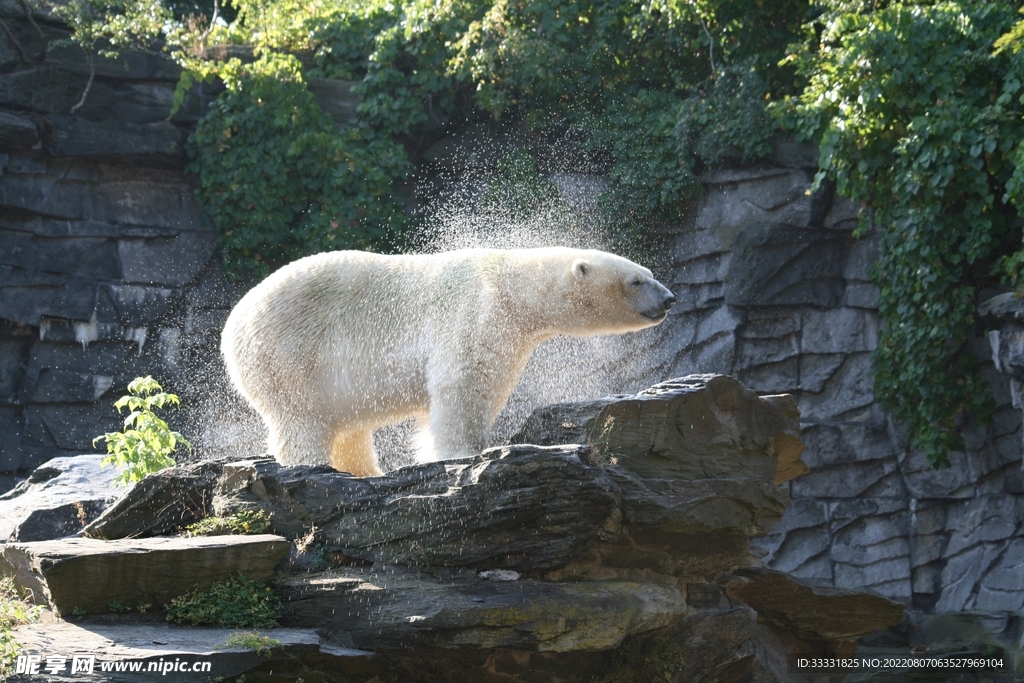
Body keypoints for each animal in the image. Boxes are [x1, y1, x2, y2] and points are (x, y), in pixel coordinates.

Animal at [220, 248, 675, 479]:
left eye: (647, 271)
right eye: (637, 280)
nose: (669, 299)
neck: (511, 285)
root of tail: (233, 325)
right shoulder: (475, 314)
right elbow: (461, 387)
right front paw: (464, 454)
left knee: (348, 430)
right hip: (290, 354)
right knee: (301, 419)